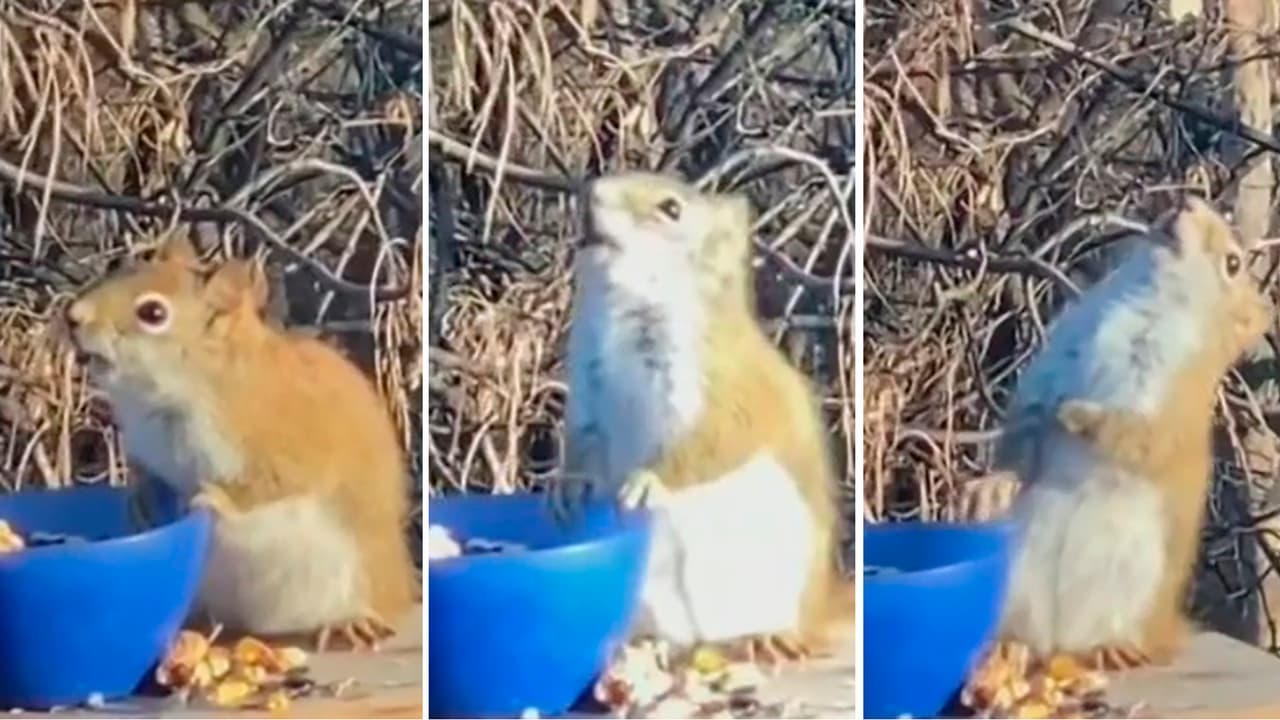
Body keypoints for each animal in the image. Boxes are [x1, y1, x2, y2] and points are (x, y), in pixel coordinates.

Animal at [62, 235, 417, 651]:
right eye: (124, 269)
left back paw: (351, 621)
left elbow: (268, 485)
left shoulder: (287, 447)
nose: (73, 316)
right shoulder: (149, 449)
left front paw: (213, 498)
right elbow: (151, 475)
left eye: (153, 312)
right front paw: (142, 500)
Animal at [551, 171, 855, 662]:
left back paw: (763, 638)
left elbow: (712, 439)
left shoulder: (722, 385)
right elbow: (584, 437)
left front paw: (648, 481)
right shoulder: (587, 385)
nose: (590, 194)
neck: (623, 310)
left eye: (671, 209)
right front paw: (568, 484)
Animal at [993, 196, 1272, 670]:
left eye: (1233, 263)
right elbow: (1028, 407)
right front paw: (1005, 470)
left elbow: (1138, 437)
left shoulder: (1172, 397)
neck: (1143, 298)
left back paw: (1111, 649)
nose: (1186, 202)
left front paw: (1074, 414)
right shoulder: (1061, 349)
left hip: (1133, 586)